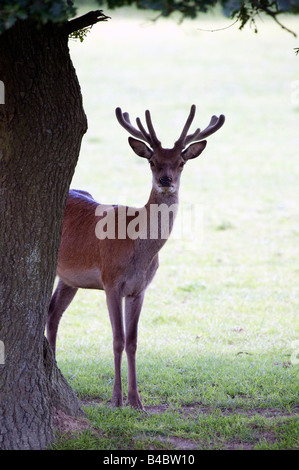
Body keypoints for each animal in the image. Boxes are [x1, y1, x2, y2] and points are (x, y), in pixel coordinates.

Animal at [46, 104, 225, 410]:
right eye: (152, 161)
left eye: (181, 162)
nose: (165, 180)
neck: (137, 249)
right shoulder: (110, 282)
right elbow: (117, 339)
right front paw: (116, 399)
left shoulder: (139, 289)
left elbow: (133, 341)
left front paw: (136, 401)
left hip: (69, 278)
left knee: (53, 313)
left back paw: (58, 372)